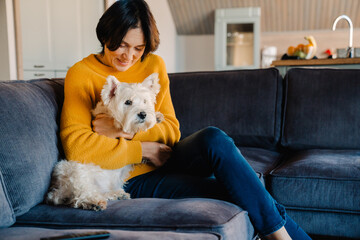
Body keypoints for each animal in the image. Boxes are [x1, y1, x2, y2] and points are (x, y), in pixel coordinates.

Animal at [46, 73, 163, 210]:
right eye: (128, 102)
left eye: (145, 101)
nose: (143, 114)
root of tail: (59, 190)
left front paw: (157, 116)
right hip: (74, 172)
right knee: (80, 194)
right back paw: (93, 202)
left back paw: (117, 194)